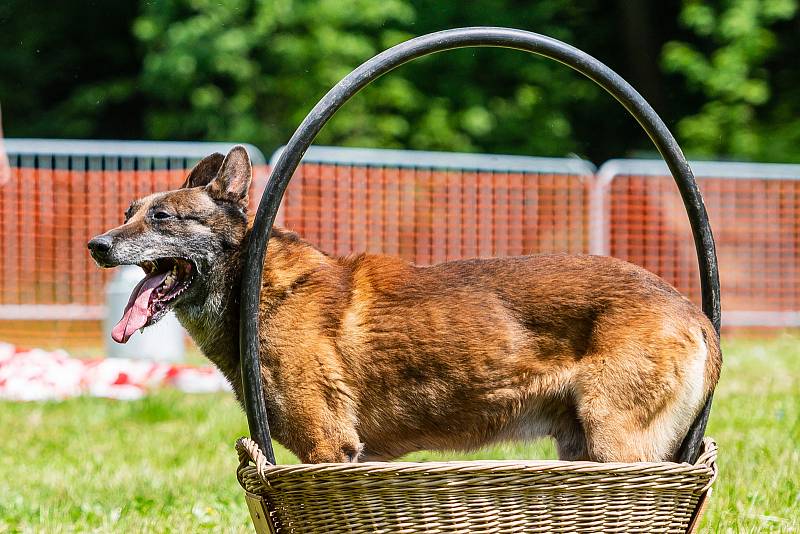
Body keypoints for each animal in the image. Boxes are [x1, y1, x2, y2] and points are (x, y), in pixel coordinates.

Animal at [87, 146, 720, 464]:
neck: (258, 289)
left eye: (162, 218)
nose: (97, 245)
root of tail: (696, 315)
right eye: (128, 211)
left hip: (618, 446)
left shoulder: (328, 447)